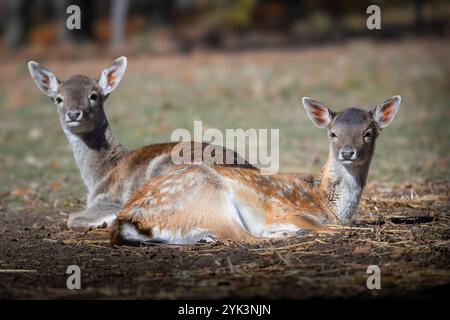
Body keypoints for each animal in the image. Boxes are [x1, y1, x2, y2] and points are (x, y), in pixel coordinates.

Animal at [28, 55, 253, 230]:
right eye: (58, 98)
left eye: (94, 96)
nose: (74, 113)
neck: (99, 176)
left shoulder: (109, 198)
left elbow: (72, 217)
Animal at [110, 95, 402, 245]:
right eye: (333, 133)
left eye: (368, 133)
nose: (347, 152)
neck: (326, 202)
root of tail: (129, 219)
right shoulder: (283, 209)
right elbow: (330, 228)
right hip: (210, 198)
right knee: (244, 237)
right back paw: (287, 234)